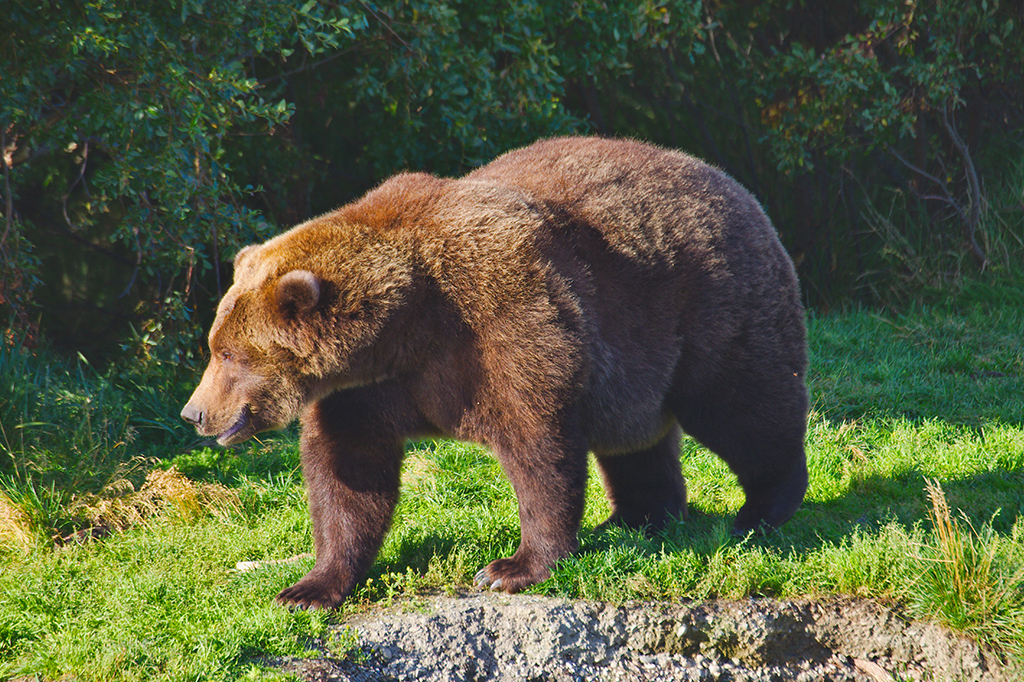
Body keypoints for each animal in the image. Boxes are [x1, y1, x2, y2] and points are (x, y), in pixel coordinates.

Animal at [181, 136, 809, 610]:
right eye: (214, 345)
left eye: (230, 354)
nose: (195, 413)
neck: (401, 328)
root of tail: (729, 182)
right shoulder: (365, 391)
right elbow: (348, 475)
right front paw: (309, 586)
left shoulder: (499, 317)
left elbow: (538, 443)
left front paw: (512, 567)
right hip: (640, 365)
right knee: (637, 442)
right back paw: (635, 519)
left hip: (705, 302)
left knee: (744, 406)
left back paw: (760, 511)